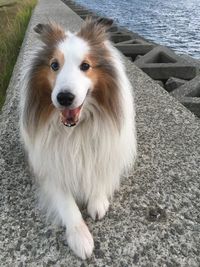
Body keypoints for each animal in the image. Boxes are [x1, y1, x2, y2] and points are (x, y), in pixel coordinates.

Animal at [19, 17, 137, 260]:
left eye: (85, 66)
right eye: (54, 65)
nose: (64, 97)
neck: (75, 130)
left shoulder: (106, 151)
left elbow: (100, 174)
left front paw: (97, 201)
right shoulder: (50, 168)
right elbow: (67, 202)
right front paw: (80, 236)